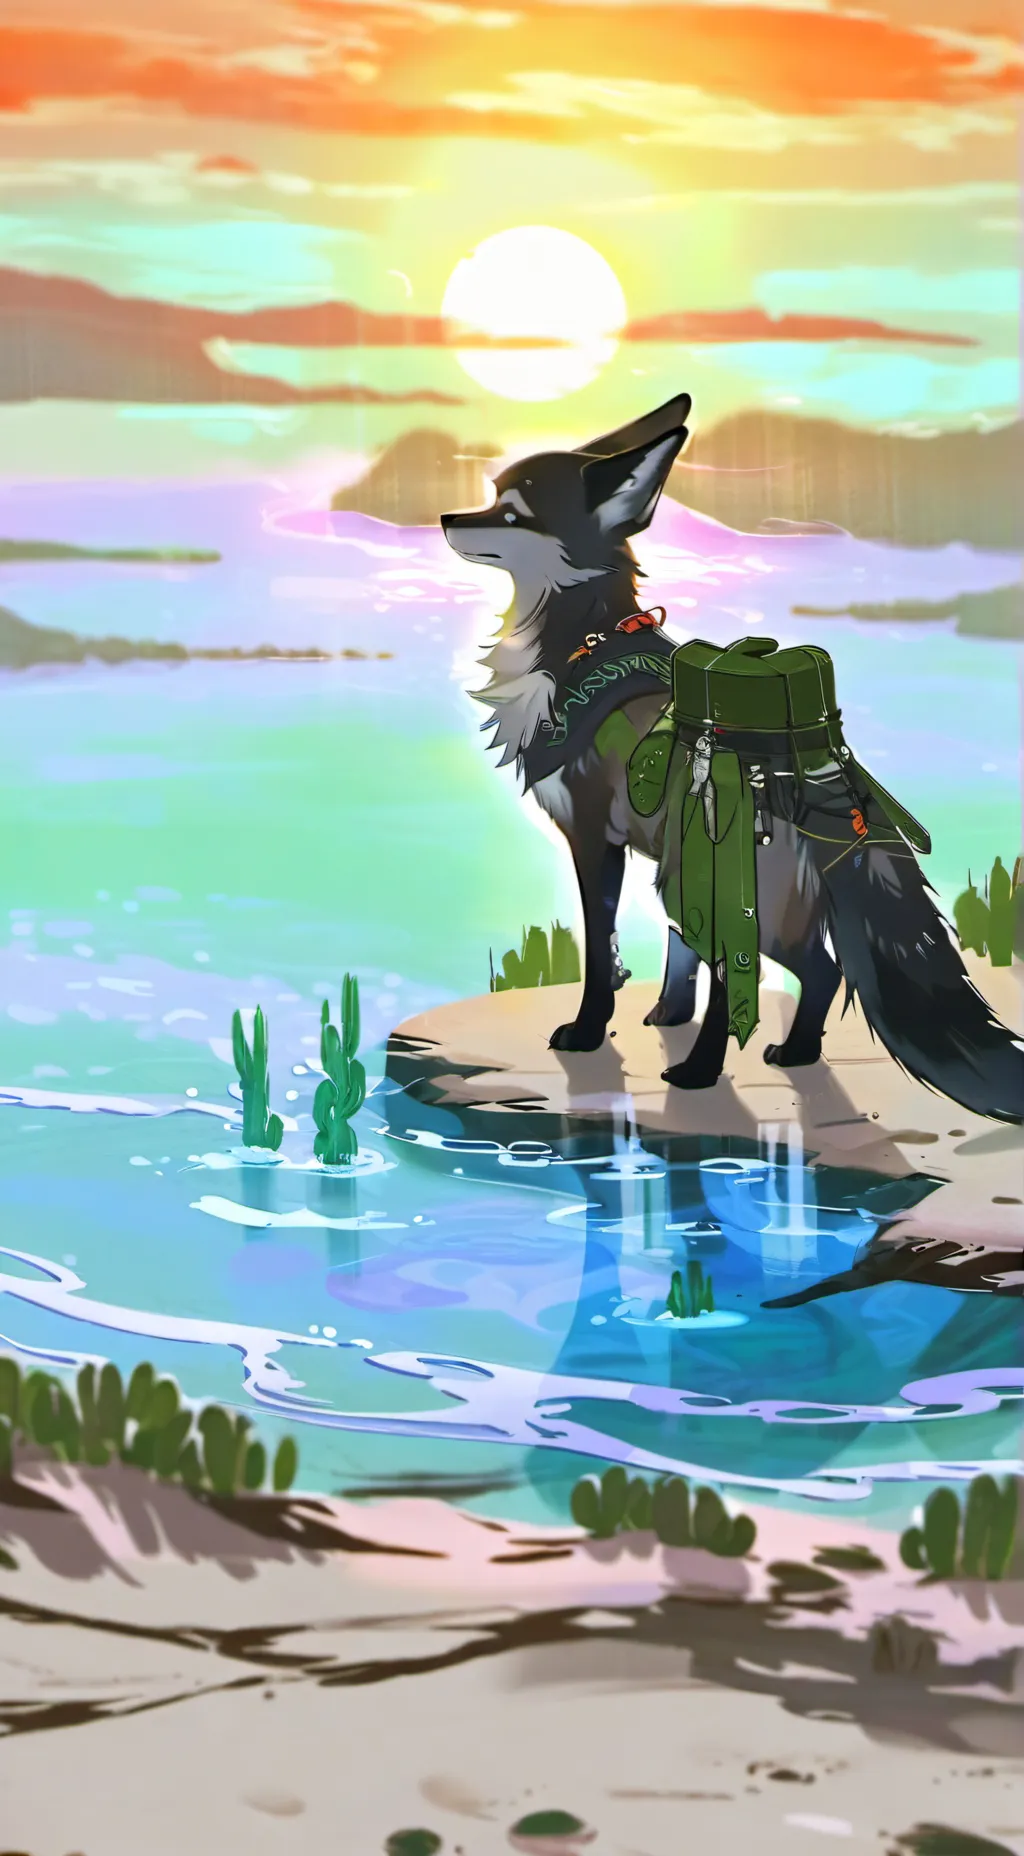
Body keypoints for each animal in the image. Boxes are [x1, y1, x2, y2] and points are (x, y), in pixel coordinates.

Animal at [442, 395, 1023, 1123]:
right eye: (492, 497)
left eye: (512, 512)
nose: (445, 519)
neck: (582, 648)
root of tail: (833, 787)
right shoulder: (668, 860)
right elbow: (675, 951)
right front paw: (667, 1014)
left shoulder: (595, 839)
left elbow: (603, 956)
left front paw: (589, 1030)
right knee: (821, 970)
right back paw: (794, 1053)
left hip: (748, 907)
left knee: (804, 971)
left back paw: (702, 1072)